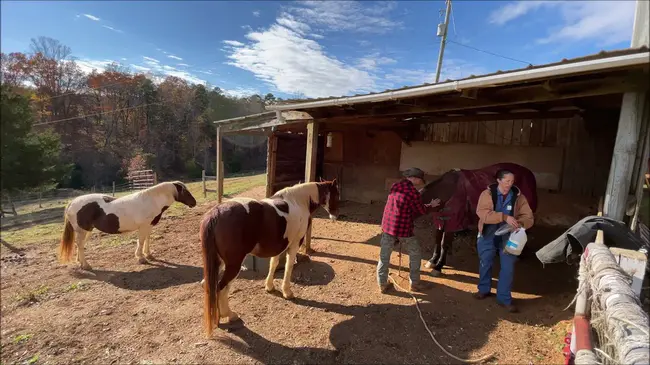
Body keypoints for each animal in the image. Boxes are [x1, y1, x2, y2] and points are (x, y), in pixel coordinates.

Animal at [58, 181, 195, 268]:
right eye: (185, 192)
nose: (194, 203)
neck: (151, 201)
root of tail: (72, 202)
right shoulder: (143, 226)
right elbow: (141, 241)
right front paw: (141, 258)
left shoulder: (148, 226)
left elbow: (147, 239)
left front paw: (149, 255)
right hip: (82, 230)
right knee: (80, 245)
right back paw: (86, 265)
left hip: (87, 230)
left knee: (79, 245)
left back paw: (80, 262)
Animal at [197, 179, 340, 336]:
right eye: (336, 194)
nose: (336, 215)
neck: (299, 201)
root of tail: (215, 213)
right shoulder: (294, 245)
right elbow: (289, 267)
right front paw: (287, 292)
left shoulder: (278, 246)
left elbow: (274, 263)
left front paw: (270, 286)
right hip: (233, 265)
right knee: (221, 288)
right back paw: (230, 315)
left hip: (219, 262)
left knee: (207, 285)